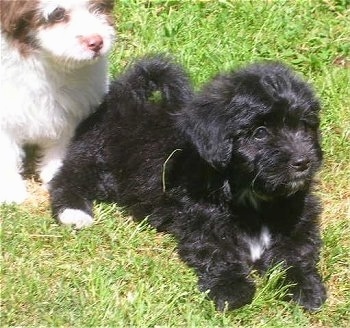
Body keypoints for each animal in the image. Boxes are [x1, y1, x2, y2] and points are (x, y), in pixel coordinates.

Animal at [0, 0, 116, 204]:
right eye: (58, 14)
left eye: (99, 6)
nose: (96, 42)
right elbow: (6, 151)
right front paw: (10, 189)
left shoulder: (72, 109)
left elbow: (64, 142)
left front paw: (57, 174)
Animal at [50, 57, 326, 312]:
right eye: (260, 133)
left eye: (304, 125)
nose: (303, 161)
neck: (253, 196)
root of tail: (123, 98)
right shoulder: (200, 216)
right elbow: (217, 250)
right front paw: (230, 288)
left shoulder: (299, 217)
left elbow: (296, 251)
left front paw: (304, 287)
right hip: (96, 160)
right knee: (68, 178)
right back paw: (74, 211)